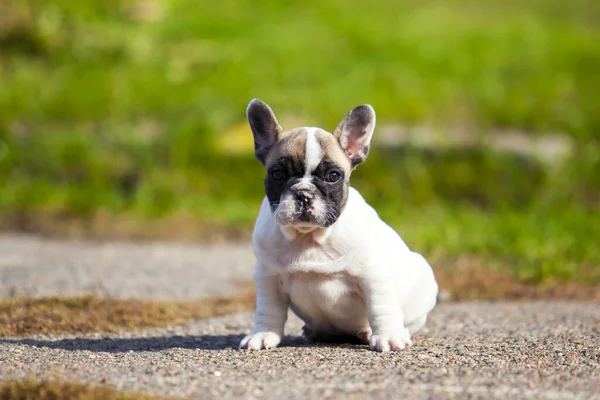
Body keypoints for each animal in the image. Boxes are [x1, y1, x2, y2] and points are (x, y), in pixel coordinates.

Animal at [238, 100, 436, 354]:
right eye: (278, 174)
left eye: (333, 176)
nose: (304, 194)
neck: (308, 237)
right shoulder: (268, 277)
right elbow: (268, 309)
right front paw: (262, 334)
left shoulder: (374, 277)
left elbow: (381, 307)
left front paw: (388, 337)